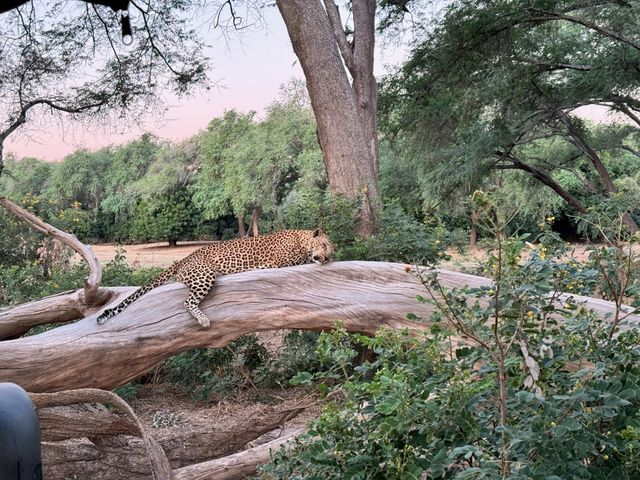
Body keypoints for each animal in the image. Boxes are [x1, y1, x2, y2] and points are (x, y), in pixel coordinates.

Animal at [96, 228, 334, 328]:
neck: (301, 240)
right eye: (324, 245)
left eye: (330, 248)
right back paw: (203, 320)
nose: (329, 257)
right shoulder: (281, 262)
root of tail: (186, 258)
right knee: (188, 301)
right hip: (204, 274)